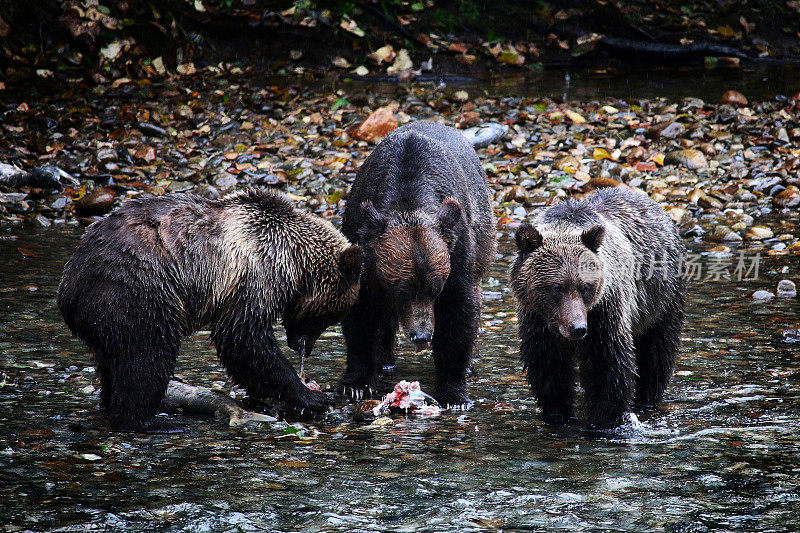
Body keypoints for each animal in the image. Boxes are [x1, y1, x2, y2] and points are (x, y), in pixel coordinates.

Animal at [59, 189, 362, 430]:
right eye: (328, 316)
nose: (303, 348)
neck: (295, 261)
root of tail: (69, 287)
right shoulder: (257, 274)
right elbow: (243, 338)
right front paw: (310, 396)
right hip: (138, 290)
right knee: (146, 356)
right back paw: (149, 420)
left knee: (114, 361)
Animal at [336, 121, 494, 408]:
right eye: (404, 289)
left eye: (436, 288)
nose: (421, 336)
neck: (408, 200)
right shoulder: (363, 248)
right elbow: (361, 313)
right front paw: (356, 384)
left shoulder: (457, 251)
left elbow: (459, 312)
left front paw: (454, 393)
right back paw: (385, 361)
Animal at [510, 187, 684, 428]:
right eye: (556, 288)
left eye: (585, 286)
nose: (577, 328)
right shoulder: (537, 319)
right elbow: (548, 365)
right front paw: (557, 413)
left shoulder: (605, 308)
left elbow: (607, 363)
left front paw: (605, 418)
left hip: (660, 299)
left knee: (657, 352)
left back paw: (647, 399)